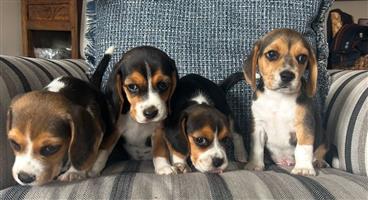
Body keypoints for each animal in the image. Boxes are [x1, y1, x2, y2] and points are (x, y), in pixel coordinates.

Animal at [243, 28, 330, 176]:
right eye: (272, 54)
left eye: (302, 58)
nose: (288, 75)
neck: (279, 97)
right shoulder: (258, 126)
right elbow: (256, 148)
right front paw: (255, 165)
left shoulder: (304, 124)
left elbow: (304, 148)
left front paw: (303, 168)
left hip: (324, 139)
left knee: (319, 151)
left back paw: (318, 161)